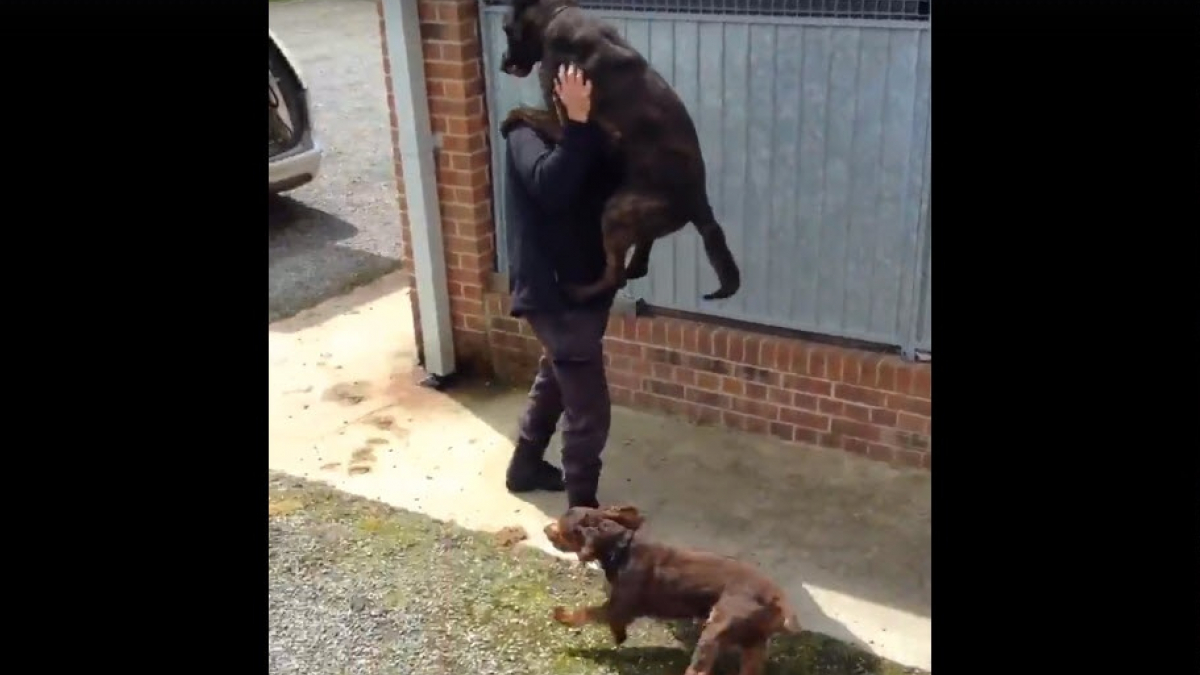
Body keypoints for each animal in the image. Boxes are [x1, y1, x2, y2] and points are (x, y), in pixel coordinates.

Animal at [496, 0, 739, 300]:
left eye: (506, 29)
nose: (502, 63)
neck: (556, 14)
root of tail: (700, 202)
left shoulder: (560, 120)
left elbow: (523, 110)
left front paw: (510, 118)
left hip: (616, 212)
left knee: (615, 276)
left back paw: (580, 291)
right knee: (640, 254)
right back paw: (633, 267)